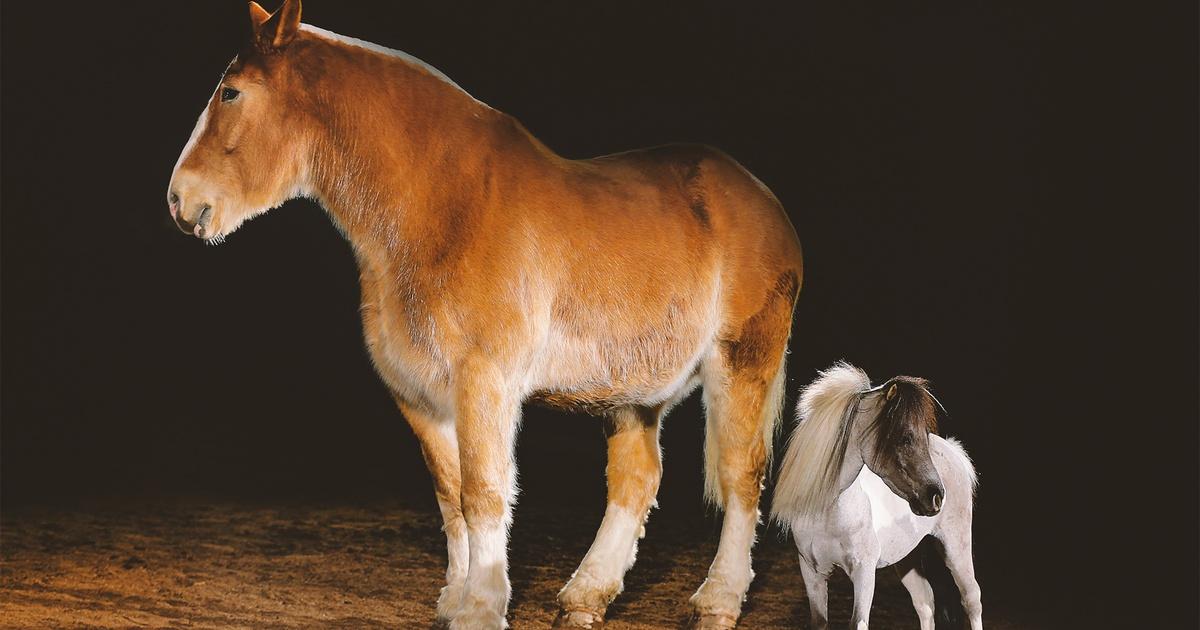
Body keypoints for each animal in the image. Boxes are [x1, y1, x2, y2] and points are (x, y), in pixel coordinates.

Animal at [167, 2, 803, 628]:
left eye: (231, 92)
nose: (180, 201)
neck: (441, 209)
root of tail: (765, 201)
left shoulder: (484, 381)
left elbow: (484, 492)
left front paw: (482, 605)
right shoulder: (418, 395)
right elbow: (451, 494)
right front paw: (456, 599)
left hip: (741, 363)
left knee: (742, 474)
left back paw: (718, 600)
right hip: (631, 390)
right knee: (637, 478)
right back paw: (585, 598)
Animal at [770, 363, 982, 630]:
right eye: (905, 437)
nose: (936, 497)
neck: (829, 513)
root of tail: (954, 452)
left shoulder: (864, 573)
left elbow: (858, 622)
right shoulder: (812, 572)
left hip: (956, 548)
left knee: (972, 599)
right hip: (906, 559)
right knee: (925, 603)